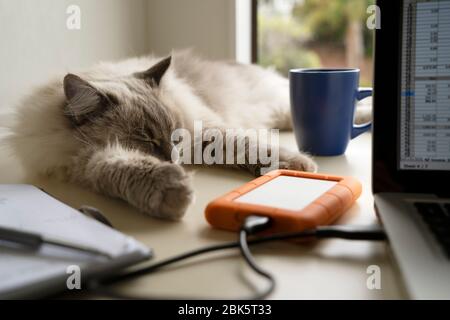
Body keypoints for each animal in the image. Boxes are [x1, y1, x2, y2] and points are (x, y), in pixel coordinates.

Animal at [3, 50, 370, 220]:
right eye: (147, 141)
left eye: (175, 137)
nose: (176, 159)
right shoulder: (90, 161)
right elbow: (122, 170)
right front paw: (172, 193)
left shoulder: (203, 131)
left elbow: (247, 145)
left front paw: (299, 167)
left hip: (281, 106)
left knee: (357, 109)